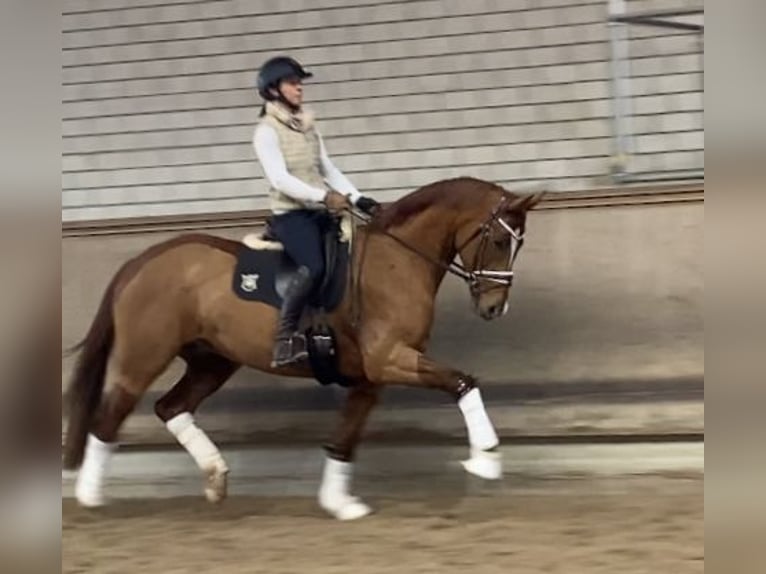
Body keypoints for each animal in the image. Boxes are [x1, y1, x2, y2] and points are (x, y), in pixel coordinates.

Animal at [66, 177, 544, 520]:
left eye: (519, 243)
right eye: (499, 241)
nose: (493, 307)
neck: (395, 261)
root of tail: (140, 263)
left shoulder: (372, 375)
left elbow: (345, 438)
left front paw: (340, 504)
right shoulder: (388, 359)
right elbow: (461, 380)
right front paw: (486, 459)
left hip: (212, 361)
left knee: (171, 407)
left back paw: (216, 477)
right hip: (143, 358)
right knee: (109, 417)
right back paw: (90, 497)